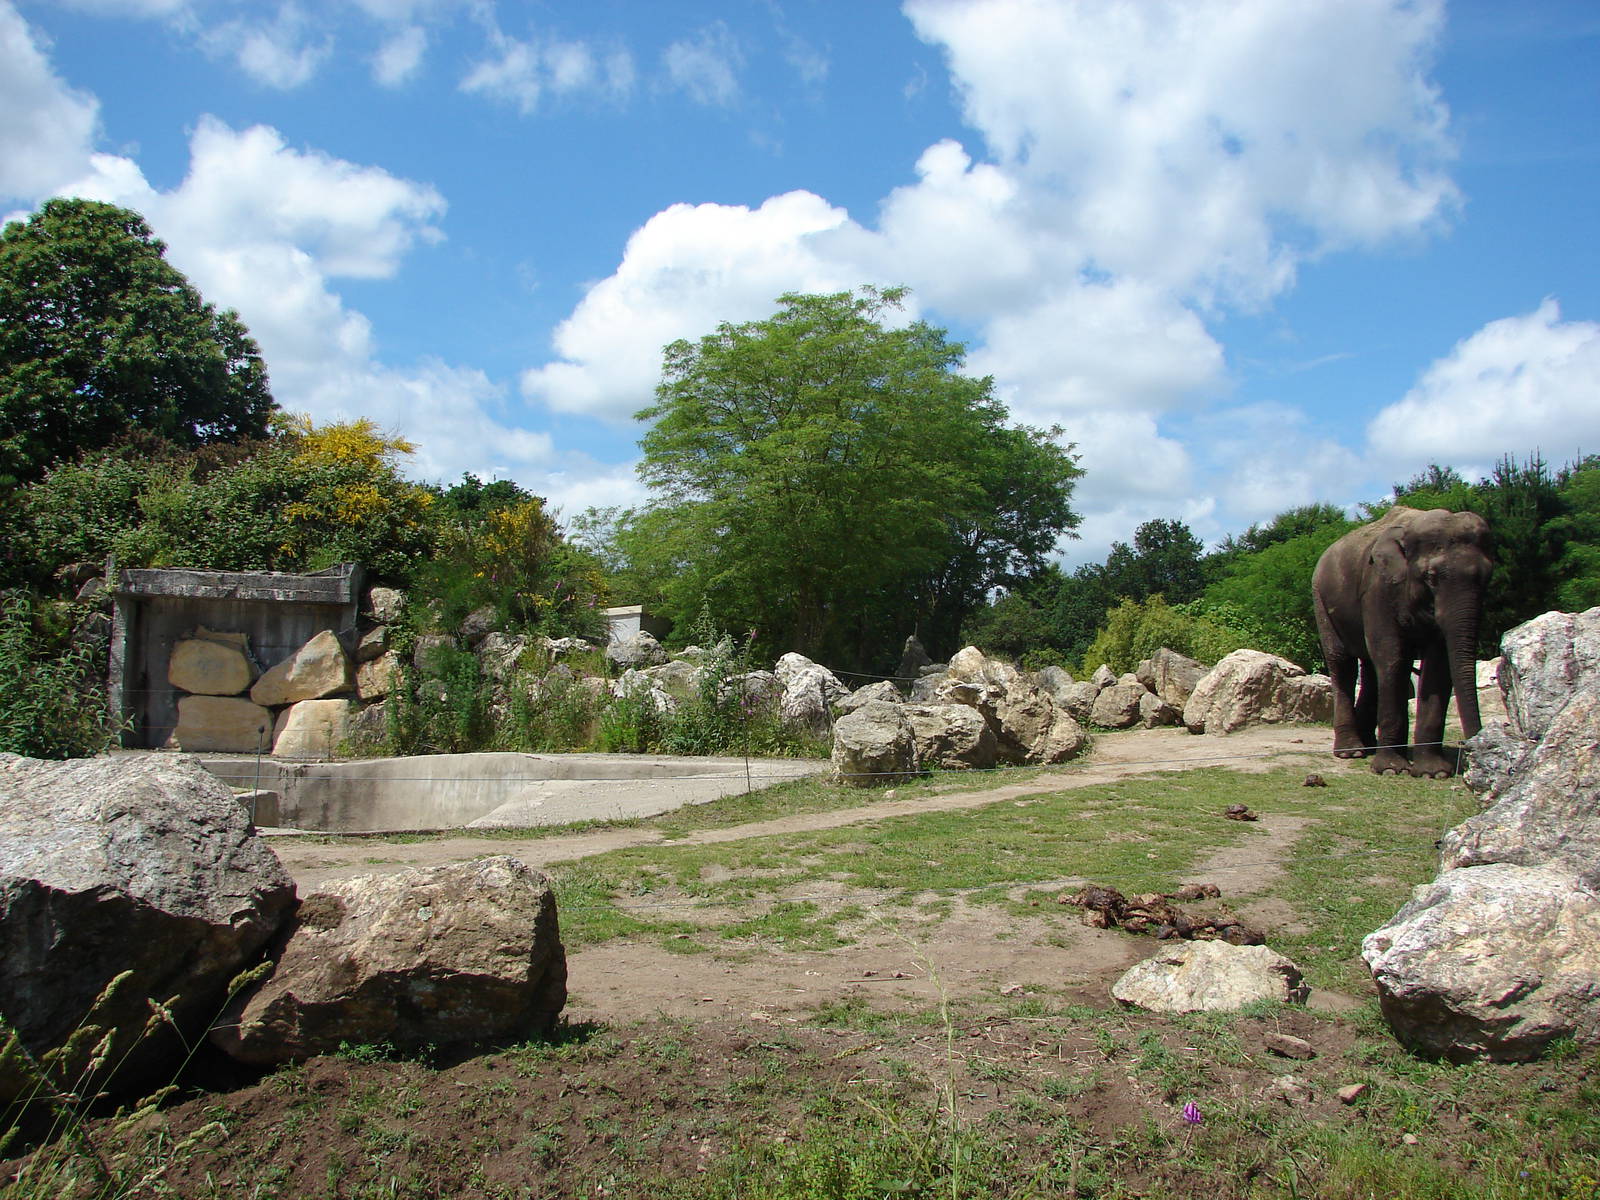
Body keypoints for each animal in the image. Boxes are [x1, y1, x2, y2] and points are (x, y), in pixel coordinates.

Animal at [1311, 506, 1493, 777]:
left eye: (1488, 577)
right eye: (1431, 577)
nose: (1471, 749)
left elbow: (1439, 663)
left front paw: (1433, 773)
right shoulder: (1378, 587)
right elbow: (1392, 655)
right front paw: (1390, 770)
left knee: (1370, 668)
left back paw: (1369, 746)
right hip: (1321, 599)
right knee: (1343, 663)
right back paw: (1351, 752)